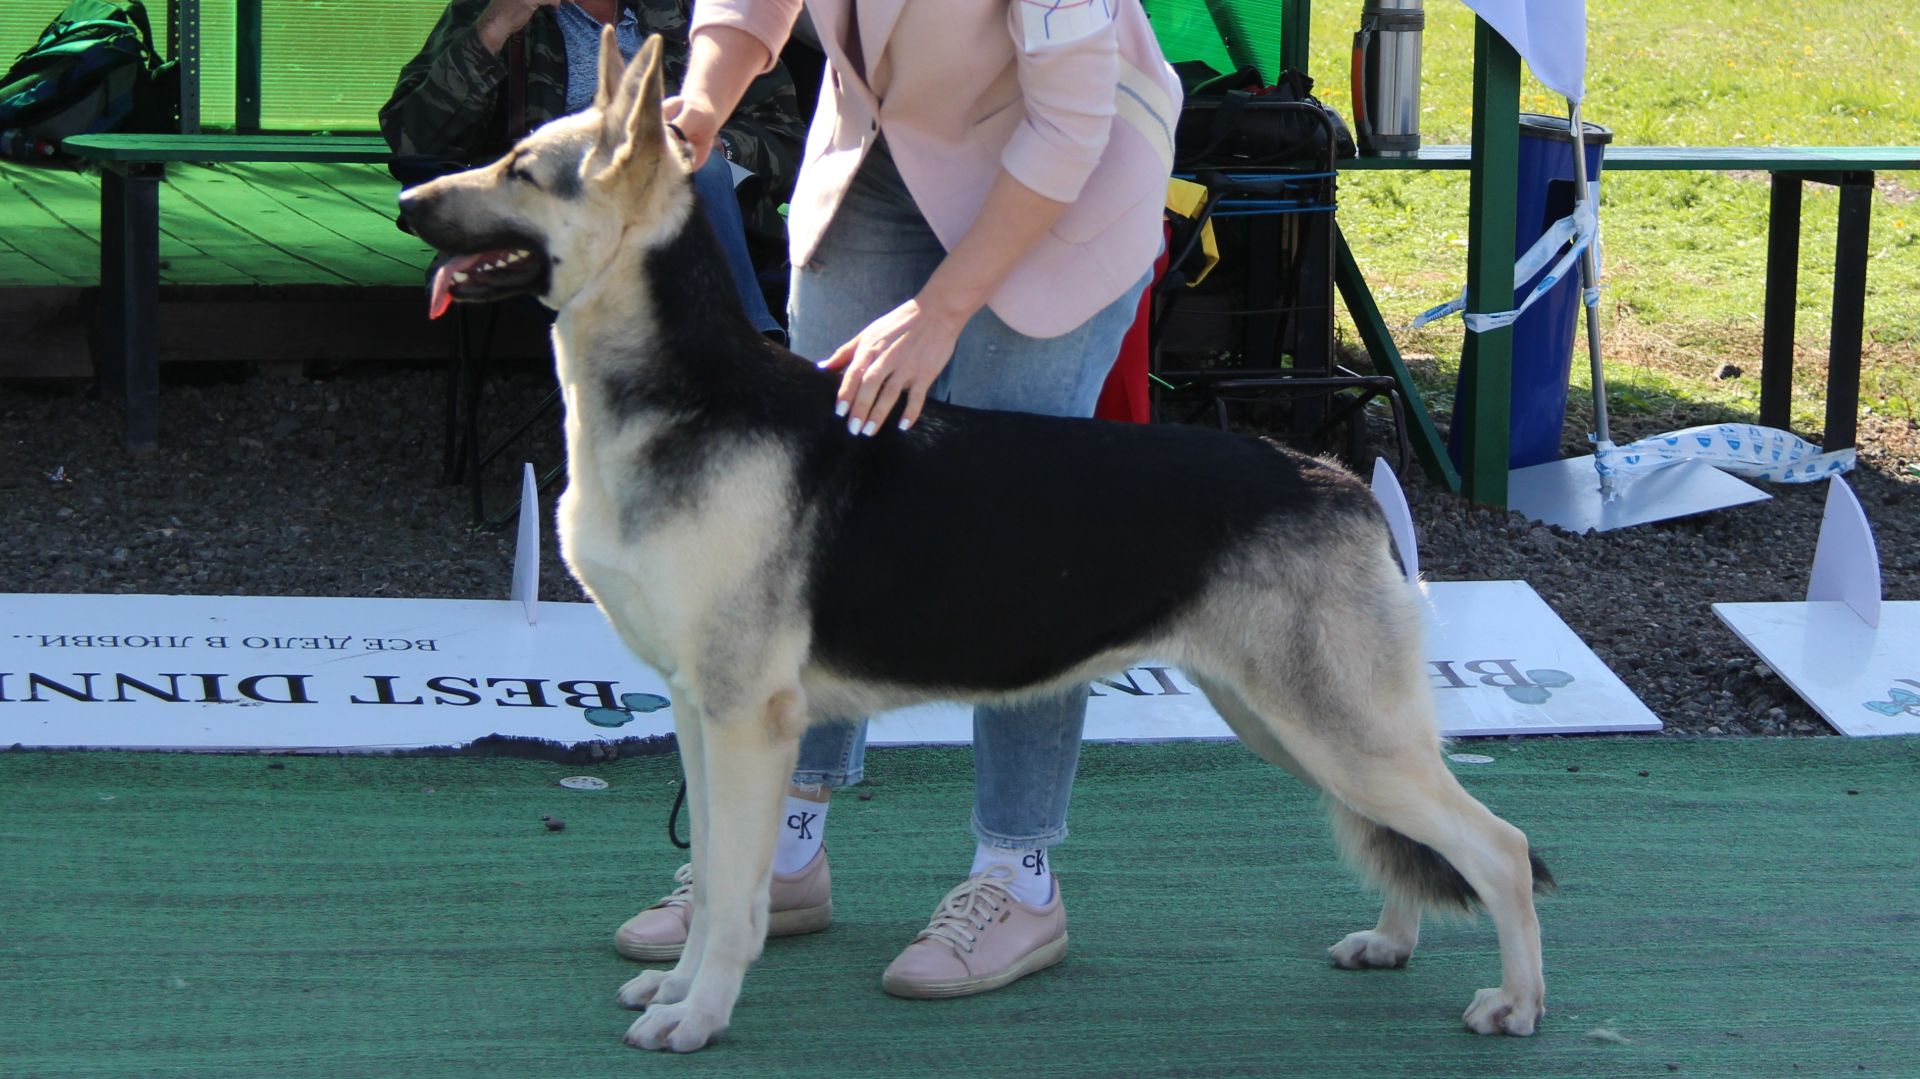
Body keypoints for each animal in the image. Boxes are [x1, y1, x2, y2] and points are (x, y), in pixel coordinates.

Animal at [397, 30, 1553, 1054]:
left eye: (519, 169)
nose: (405, 200)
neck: (689, 393)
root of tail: (1342, 482)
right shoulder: (695, 713)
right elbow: (721, 874)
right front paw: (680, 986)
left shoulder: (743, 722)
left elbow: (734, 897)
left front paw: (699, 1014)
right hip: (1294, 726)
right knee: (1413, 838)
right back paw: (1392, 942)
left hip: (1335, 728)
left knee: (1499, 846)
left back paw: (1516, 1002)